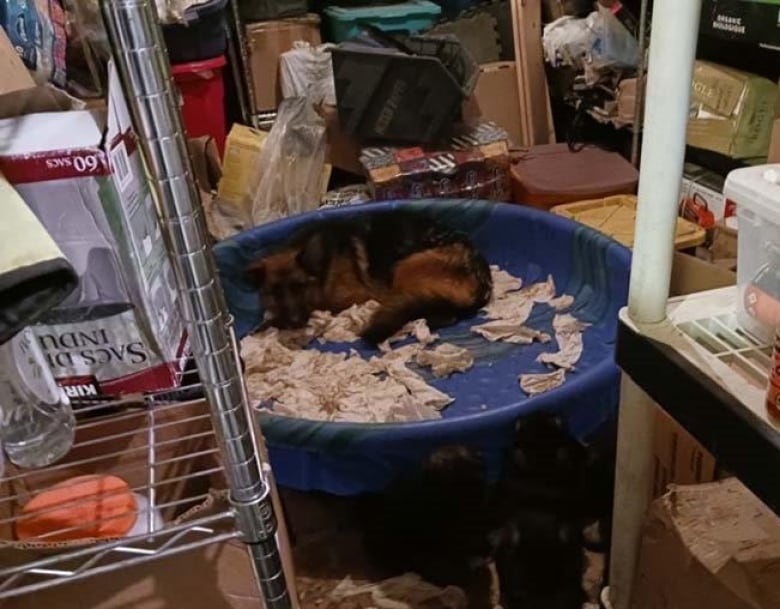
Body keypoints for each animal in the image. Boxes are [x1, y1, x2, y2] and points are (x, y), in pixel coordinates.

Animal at [248, 208, 494, 342]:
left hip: (404, 267)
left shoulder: (349, 297)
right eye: (274, 292)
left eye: (300, 287)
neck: (325, 264)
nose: (295, 322)